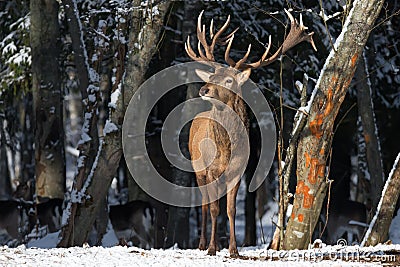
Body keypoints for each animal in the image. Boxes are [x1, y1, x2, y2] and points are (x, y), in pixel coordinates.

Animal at [186, 9, 318, 258]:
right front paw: (211, 249)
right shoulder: (210, 171)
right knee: (205, 204)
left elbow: (230, 209)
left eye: (229, 79)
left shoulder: (238, 171)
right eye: (212, 76)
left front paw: (233, 250)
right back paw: (202, 243)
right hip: (197, 167)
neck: (225, 149)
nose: (204, 89)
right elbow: (214, 208)